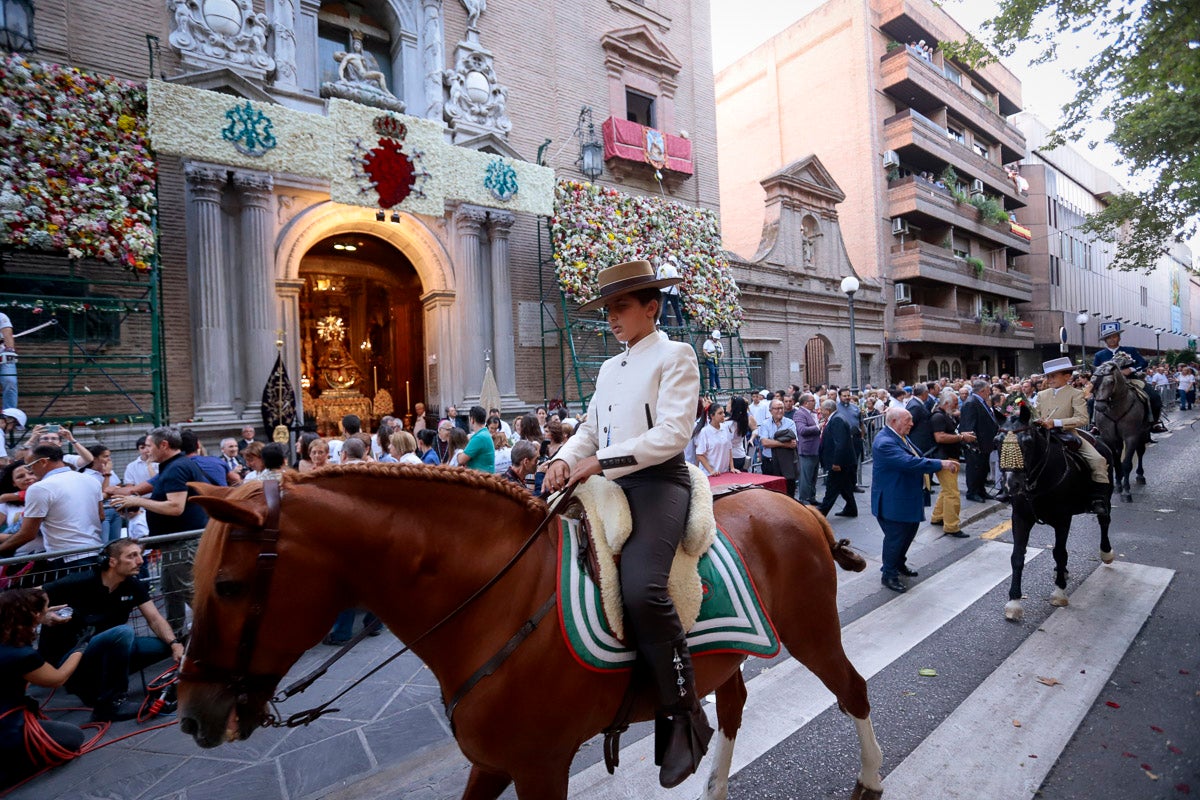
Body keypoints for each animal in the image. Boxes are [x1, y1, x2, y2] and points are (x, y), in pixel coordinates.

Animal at [180, 462, 892, 800]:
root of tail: (798, 503)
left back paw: (870, 780)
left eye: (228, 586)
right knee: (735, 706)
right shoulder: (493, 763)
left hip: (812, 632)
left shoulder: (540, 765)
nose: (191, 715)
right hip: (731, 656)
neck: (498, 601)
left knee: (854, 691)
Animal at [993, 402, 1113, 623]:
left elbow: (1059, 552)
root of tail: (1096, 436)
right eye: (997, 441)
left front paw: (1059, 593)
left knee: (1104, 521)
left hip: (1105, 493)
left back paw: (1106, 553)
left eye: (1028, 441)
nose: (1010, 485)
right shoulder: (1020, 518)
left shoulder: (1062, 519)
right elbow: (1017, 556)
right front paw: (1014, 602)